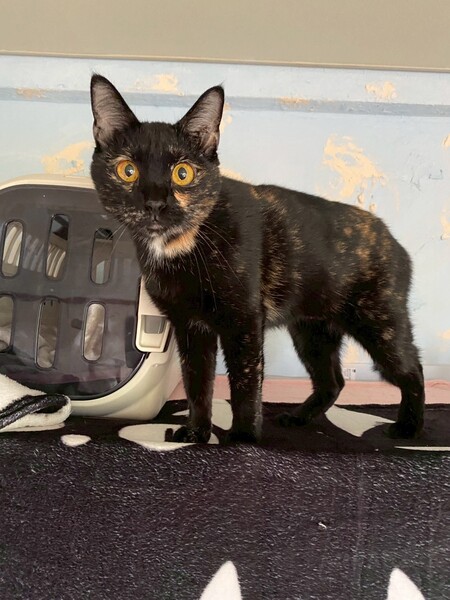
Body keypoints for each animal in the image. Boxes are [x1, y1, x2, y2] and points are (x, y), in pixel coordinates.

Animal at [90, 75, 425, 443]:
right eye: (128, 170)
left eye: (182, 173)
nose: (154, 202)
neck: (181, 245)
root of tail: (394, 242)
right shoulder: (190, 326)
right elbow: (197, 383)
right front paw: (196, 433)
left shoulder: (245, 321)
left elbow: (245, 382)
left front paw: (243, 438)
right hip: (312, 331)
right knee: (333, 381)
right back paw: (299, 417)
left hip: (379, 322)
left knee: (411, 368)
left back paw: (409, 427)